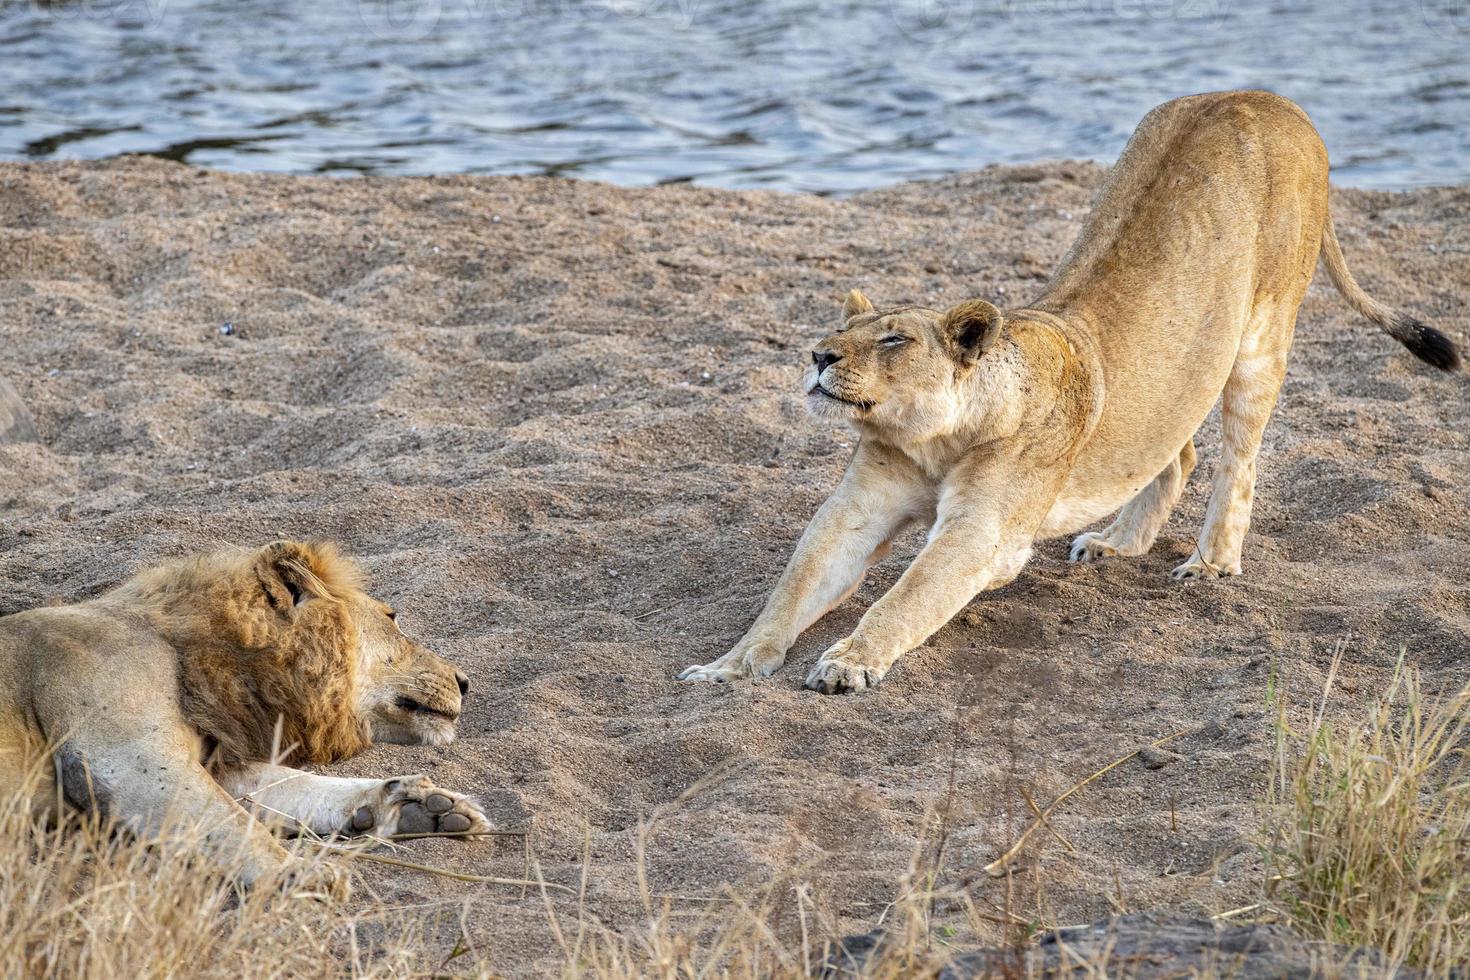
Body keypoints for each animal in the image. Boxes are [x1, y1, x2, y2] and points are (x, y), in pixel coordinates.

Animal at [0, 543, 493, 887]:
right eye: (393, 618)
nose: (466, 681)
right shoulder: (125, 759)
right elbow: (234, 825)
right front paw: (299, 876)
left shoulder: (216, 763)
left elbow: (297, 786)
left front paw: (421, 807)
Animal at [679, 88, 1458, 693]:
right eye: (845, 329)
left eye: (894, 340)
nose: (817, 354)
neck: (932, 440)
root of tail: (1273, 99)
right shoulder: (857, 509)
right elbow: (793, 589)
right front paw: (729, 667)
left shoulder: (982, 531)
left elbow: (905, 598)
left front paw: (848, 662)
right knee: (1176, 452)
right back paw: (1115, 543)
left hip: (1262, 335)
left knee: (1237, 459)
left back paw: (1209, 563)